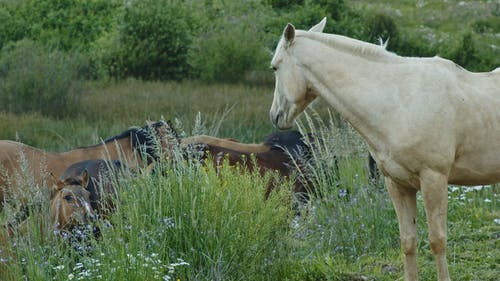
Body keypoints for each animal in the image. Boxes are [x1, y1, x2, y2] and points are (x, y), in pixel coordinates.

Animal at [270, 18, 500, 280]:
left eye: (275, 67)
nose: (275, 116)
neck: (399, 102)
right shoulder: (397, 184)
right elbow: (408, 241)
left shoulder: (434, 179)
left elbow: (437, 241)